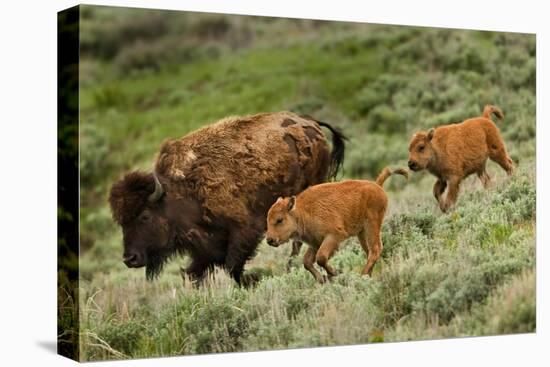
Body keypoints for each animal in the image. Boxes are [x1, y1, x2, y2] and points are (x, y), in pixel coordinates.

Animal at [109, 112, 348, 284]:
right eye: (121, 222)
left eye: (145, 216)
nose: (129, 259)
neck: (178, 193)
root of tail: (310, 122)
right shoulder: (205, 249)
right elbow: (195, 272)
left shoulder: (243, 231)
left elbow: (232, 266)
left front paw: (253, 281)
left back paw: (292, 265)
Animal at [266, 168, 408, 284]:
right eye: (267, 219)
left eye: (279, 220)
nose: (270, 240)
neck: (302, 211)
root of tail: (377, 186)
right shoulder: (315, 243)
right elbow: (307, 262)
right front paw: (322, 279)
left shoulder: (333, 237)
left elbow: (321, 258)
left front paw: (334, 273)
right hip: (362, 233)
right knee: (369, 251)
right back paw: (368, 275)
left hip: (372, 225)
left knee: (376, 249)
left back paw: (362, 275)